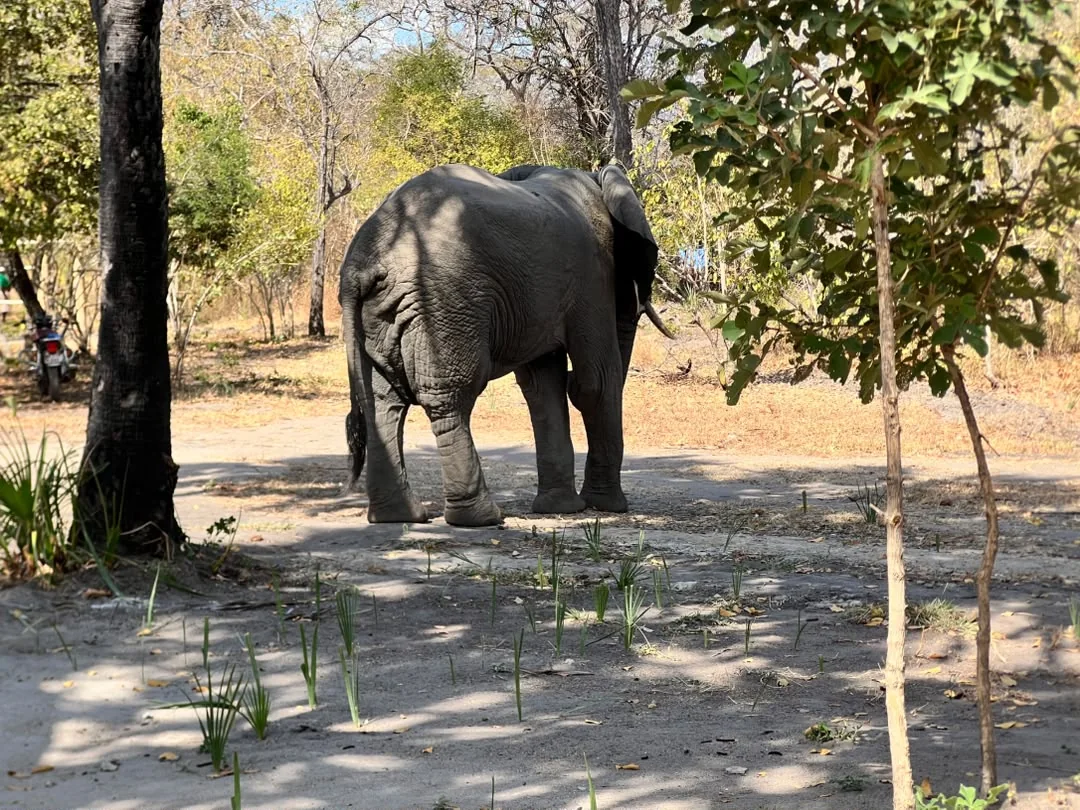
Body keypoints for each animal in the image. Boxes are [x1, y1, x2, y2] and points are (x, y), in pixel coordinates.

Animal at [338, 162, 671, 527]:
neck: (596, 178)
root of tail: (360, 262)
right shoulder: (593, 270)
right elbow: (595, 383)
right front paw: (606, 507)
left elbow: (542, 387)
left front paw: (560, 508)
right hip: (444, 300)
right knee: (450, 397)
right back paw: (481, 517)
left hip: (382, 312)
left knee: (383, 401)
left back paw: (397, 516)